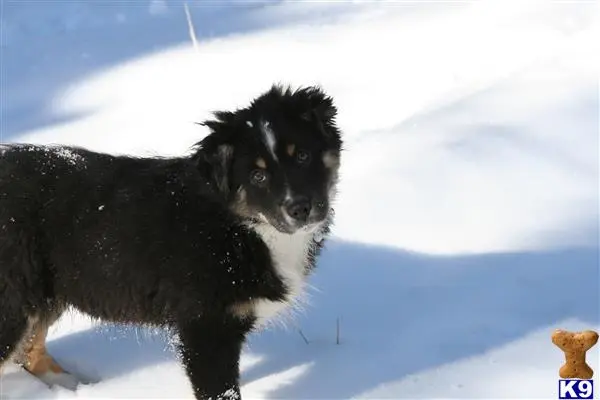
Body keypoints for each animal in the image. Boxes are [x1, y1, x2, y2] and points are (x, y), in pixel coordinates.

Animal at [0, 83, 342, 396]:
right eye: (258, 176)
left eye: (302, 155)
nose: (300, 208)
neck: (242, 227)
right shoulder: (205, 326)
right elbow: (221, 391)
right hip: (15, 300)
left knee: (30, 353)